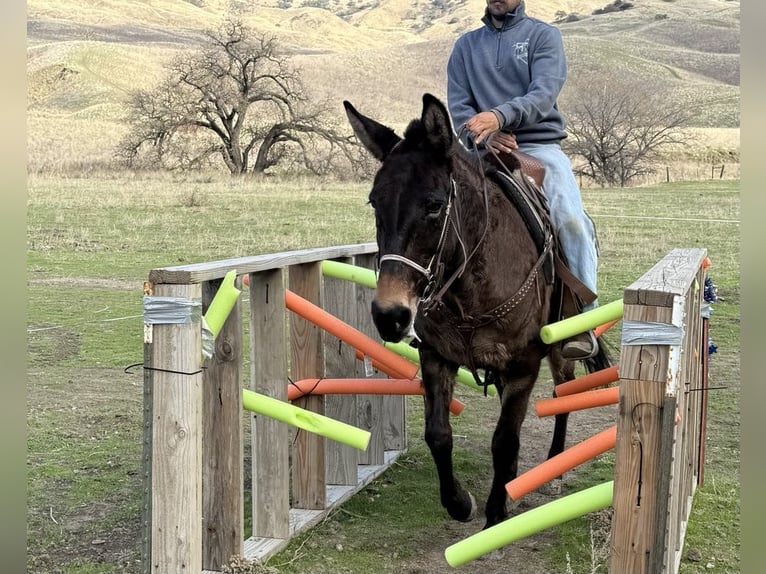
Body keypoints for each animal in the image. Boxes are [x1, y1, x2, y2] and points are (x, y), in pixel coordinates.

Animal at [343, 93, 612, 529]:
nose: (390, 315)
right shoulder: (436, 357)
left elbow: (505, 438)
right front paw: (460, 502)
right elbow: (438, 434)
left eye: (435, 206)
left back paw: (553, 465)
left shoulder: (523, 365)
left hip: (561, 351)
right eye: (374, 202)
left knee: (563, 393)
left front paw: (497, 510)